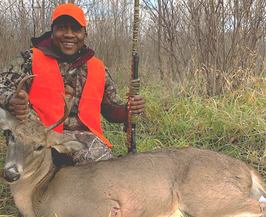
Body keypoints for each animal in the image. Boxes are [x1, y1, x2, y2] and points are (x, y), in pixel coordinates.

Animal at [1, 76, 266, 217]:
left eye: (39, 146)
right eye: (11, 135)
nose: (10, 173)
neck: (39, 194)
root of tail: (248, 170)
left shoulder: (97, 207)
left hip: (204, 196)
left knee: (256, 206)